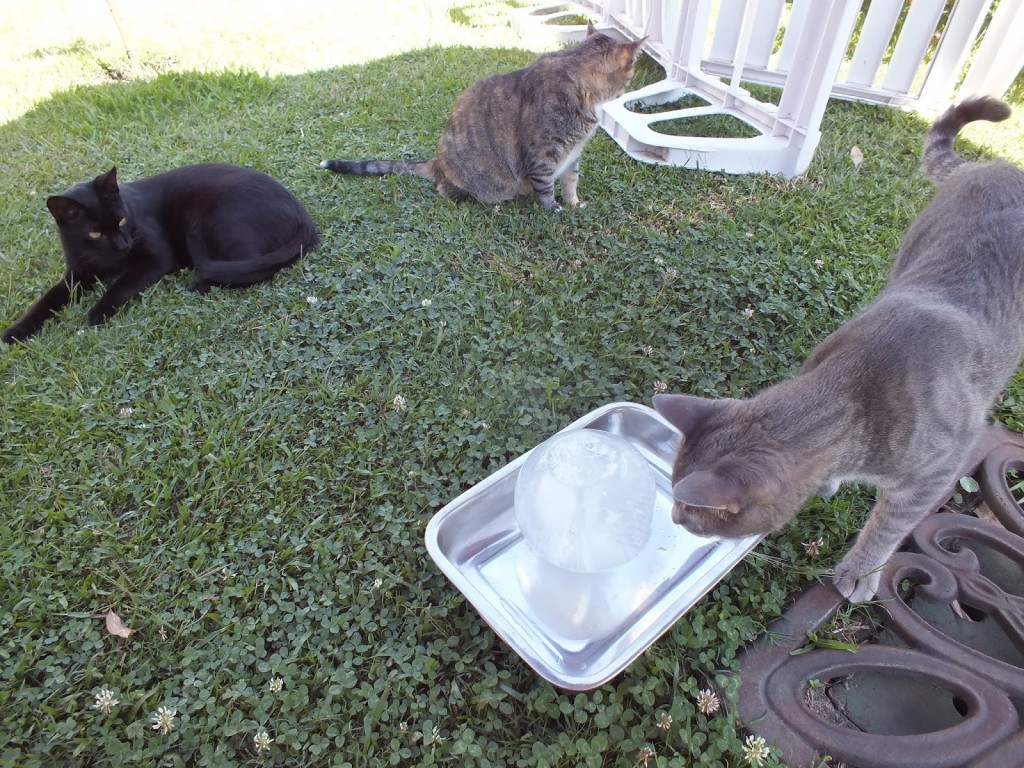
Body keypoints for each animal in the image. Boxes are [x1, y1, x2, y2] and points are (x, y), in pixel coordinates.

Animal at [1, 163, 319, 342]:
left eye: (121, 220)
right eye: (94, 233)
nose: (122, 245)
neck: (107, 259)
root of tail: (302, 214)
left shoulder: (155, 257)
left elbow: (122, 284)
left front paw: (97, 312)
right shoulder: (77, 272)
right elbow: (47, 300)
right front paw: (16, 331)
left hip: (217, 219)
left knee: (257, 268)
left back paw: (201, 284)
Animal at [319, 25, 638, 211]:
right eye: (632, 70)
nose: (631, 82)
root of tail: (437, 163)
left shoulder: (572, 154)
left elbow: (571, 181)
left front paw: (573, 203)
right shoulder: (543, 156)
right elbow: (546, 188)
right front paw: (554, 208)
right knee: (446, 190)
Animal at [655, 94, 1024, 602]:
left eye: (689, 514)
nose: (672, 516)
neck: (851, 393)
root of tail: (998, 165)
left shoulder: (934, 474)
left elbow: (888, 526)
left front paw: (861, 571)